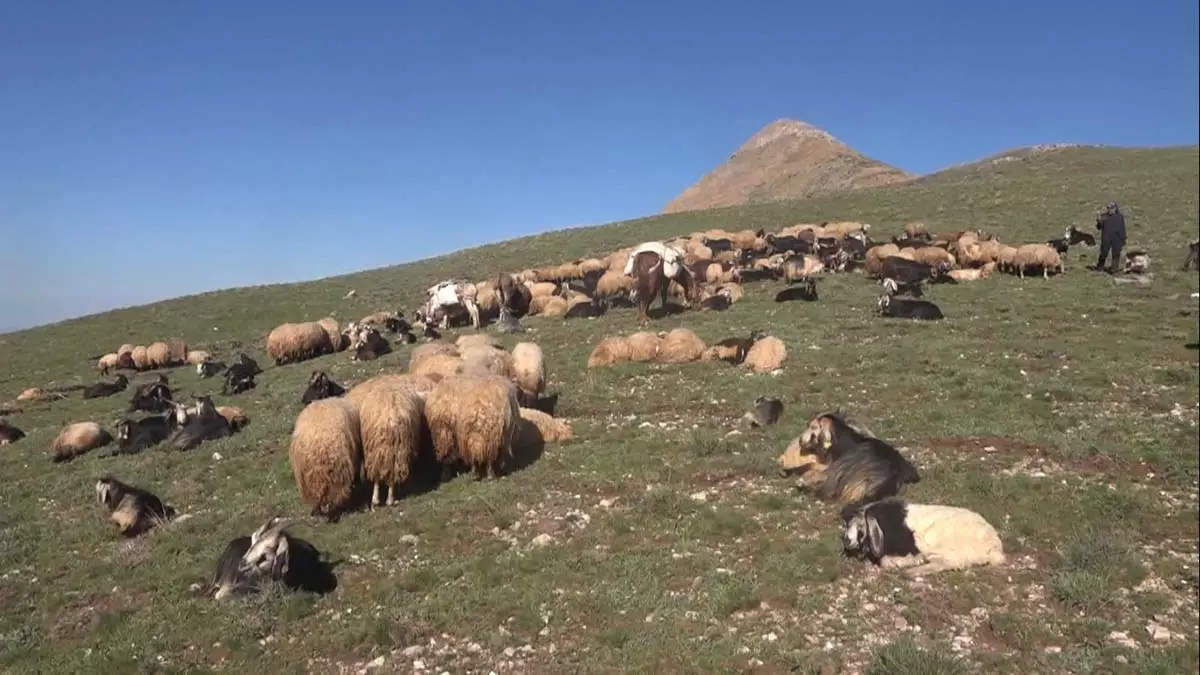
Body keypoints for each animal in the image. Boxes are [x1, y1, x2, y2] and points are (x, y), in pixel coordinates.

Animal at [777, 410, 916, 504]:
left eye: (813, 427)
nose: (800, 440)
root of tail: (892, 474)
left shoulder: (831, 463)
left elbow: (810, 465)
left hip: (845, 465)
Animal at [840, 497, 1008, 576]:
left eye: (861, 527)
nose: (846, 540)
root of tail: (994, 546)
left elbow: (886, 561)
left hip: (947, 549)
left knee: (950, 563)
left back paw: (913, 571)